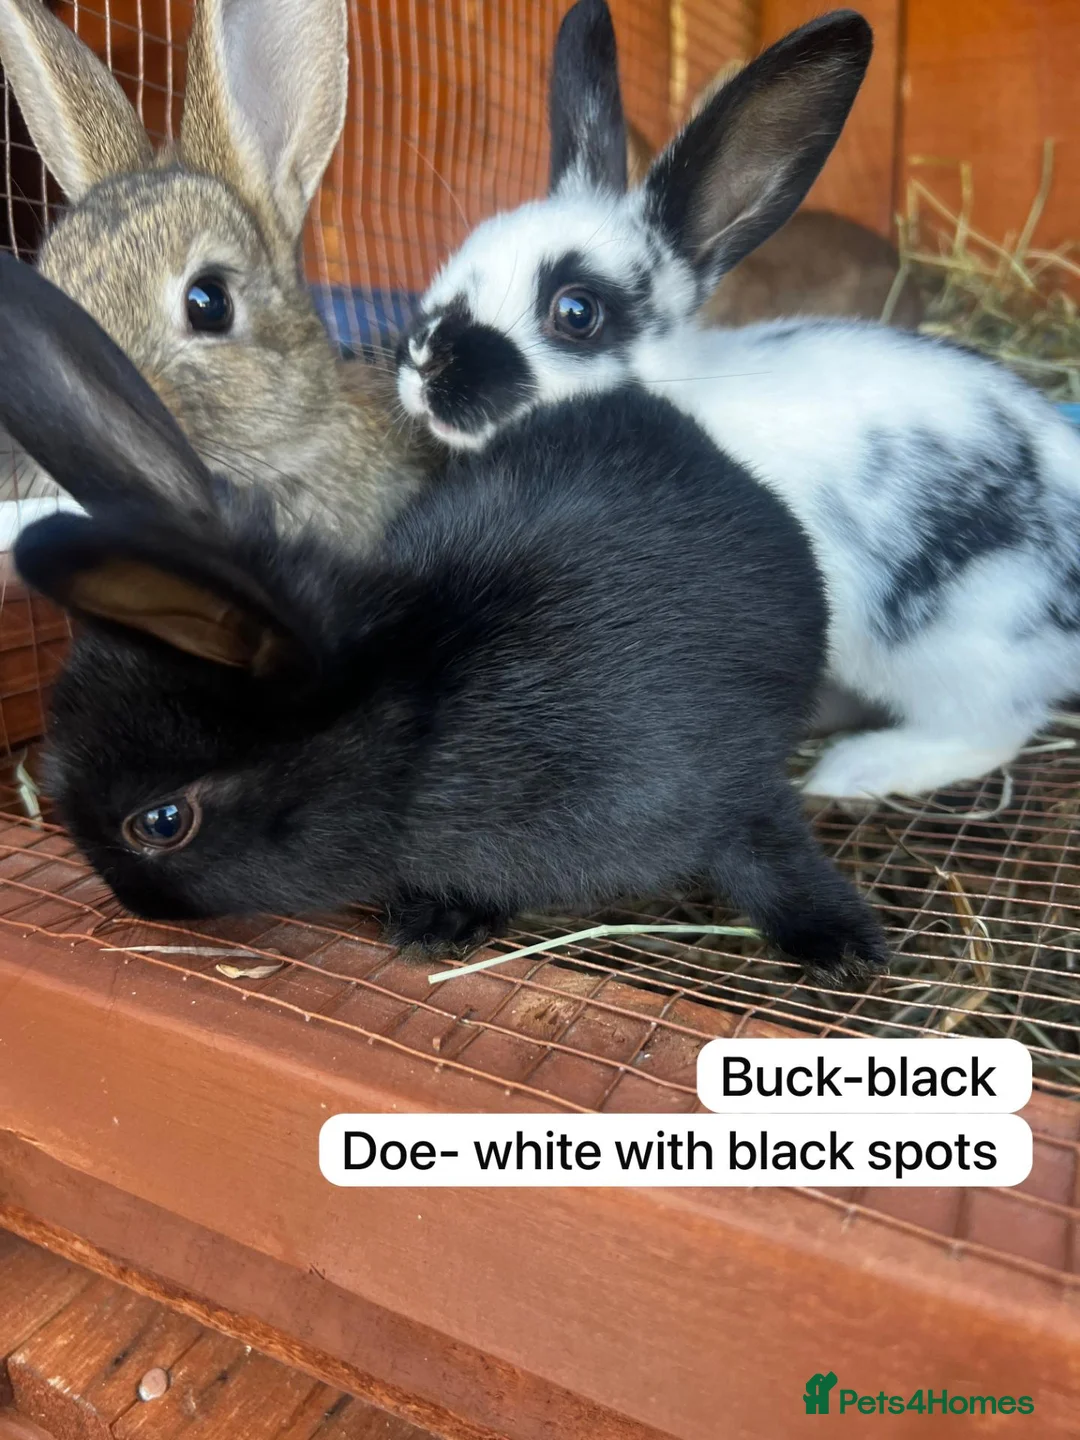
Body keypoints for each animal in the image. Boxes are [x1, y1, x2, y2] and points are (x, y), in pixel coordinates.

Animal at [0, 252, 887, 980]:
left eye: (162, 823)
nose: (132, 904)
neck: (426, 718)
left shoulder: (719, 779)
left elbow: (765, 849)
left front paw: (843, 948)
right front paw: (440, 921)